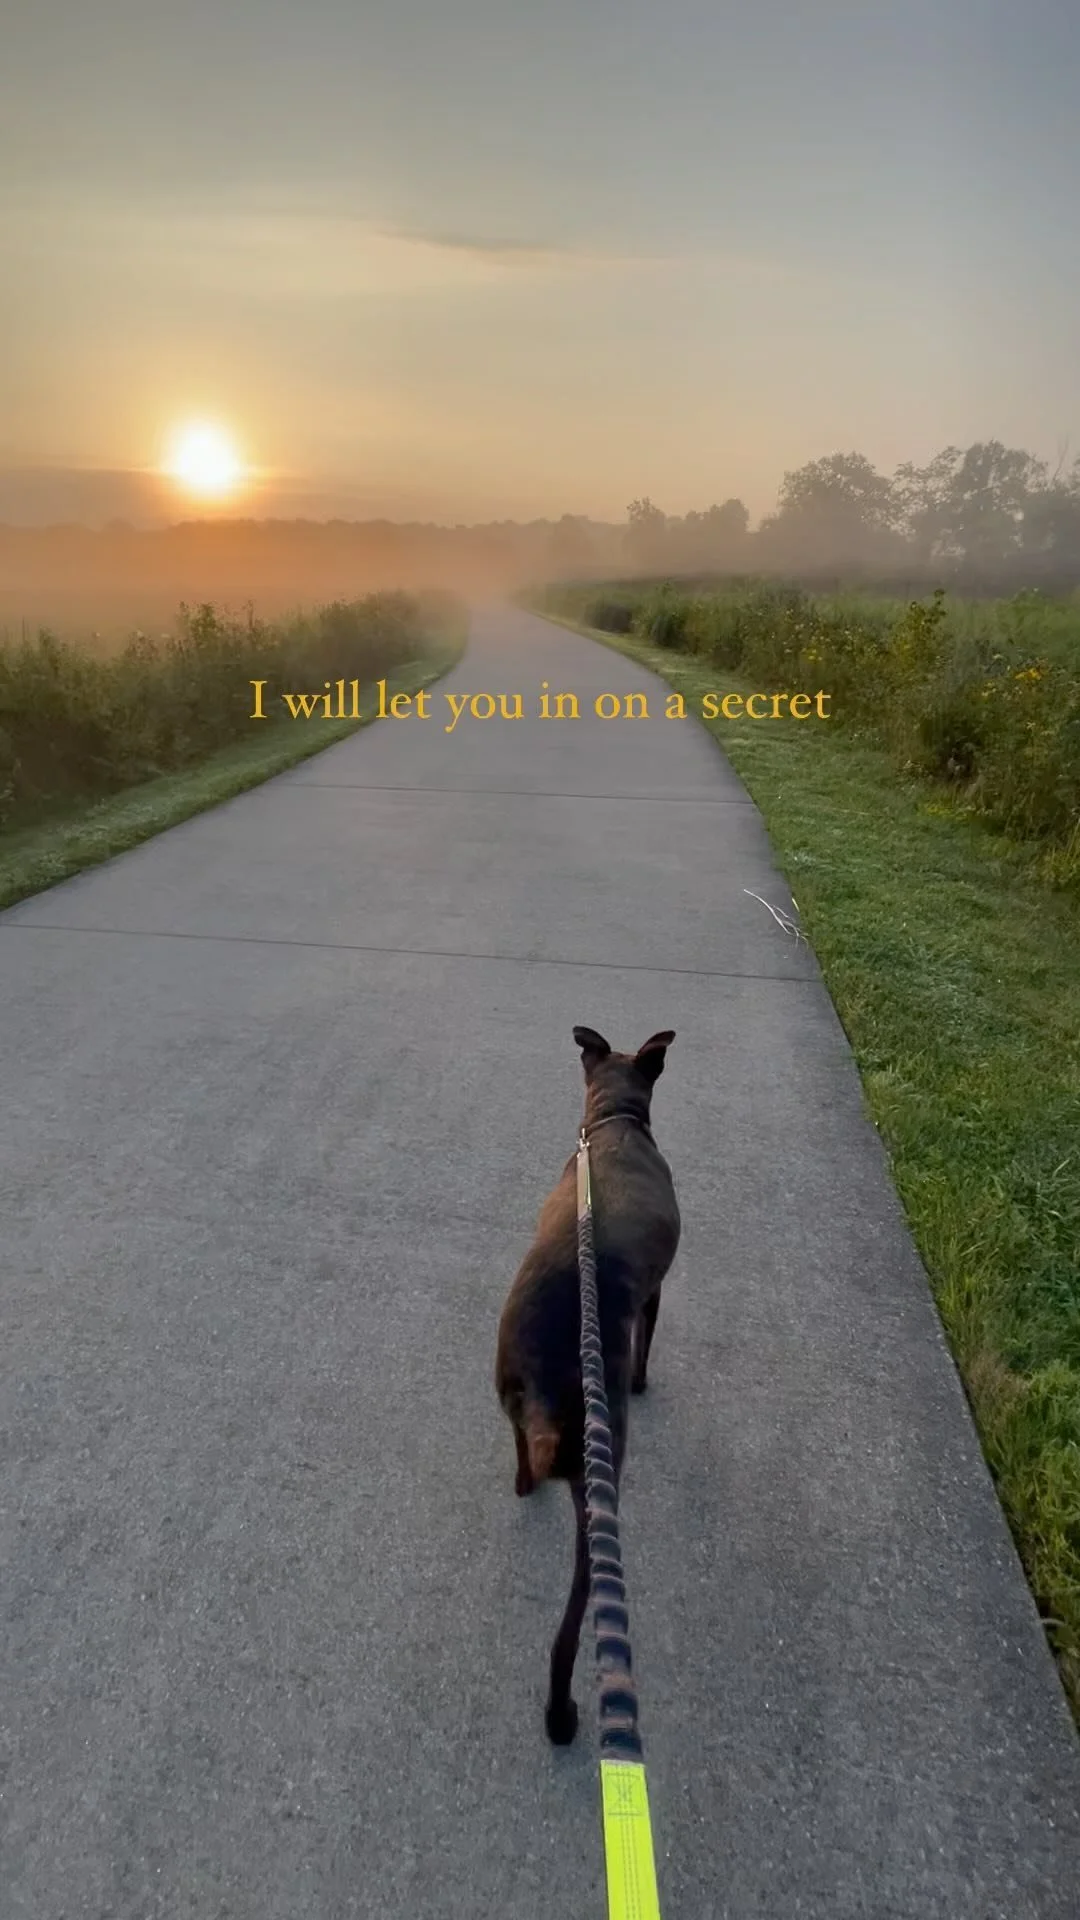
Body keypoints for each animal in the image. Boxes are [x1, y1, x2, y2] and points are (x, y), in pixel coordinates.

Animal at [494, 1025, 680, 1744]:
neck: (612, 1123)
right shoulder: (654, 1295)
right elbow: (646, 1345)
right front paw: (644, 1381)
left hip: (510, 1400)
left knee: (520, 1456)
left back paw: (524, 1483)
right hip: (596, 1506)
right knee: (566, 1639)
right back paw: (561, 1716)